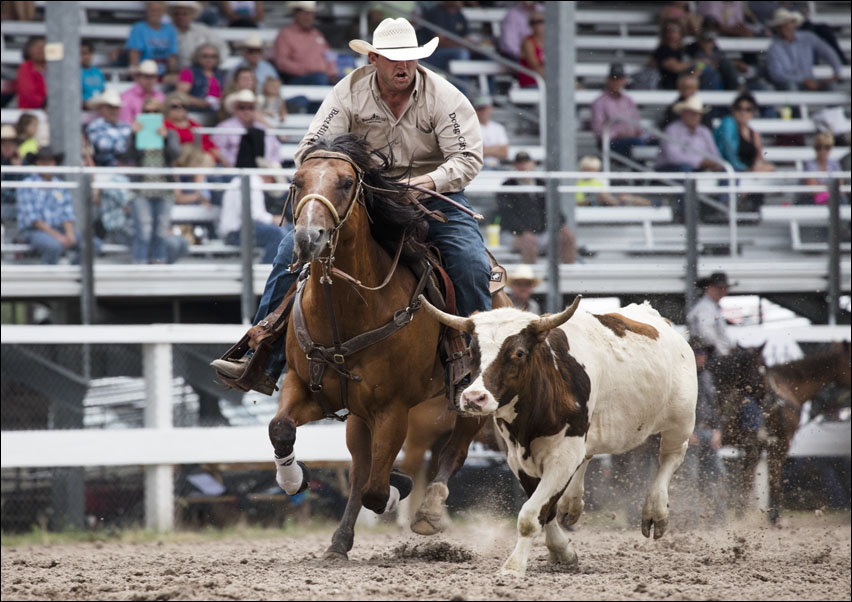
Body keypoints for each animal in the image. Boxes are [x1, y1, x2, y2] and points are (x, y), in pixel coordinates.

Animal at [418, 295, 697, 577]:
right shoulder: (518, 459)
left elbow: (530, 515)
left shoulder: (562, 457)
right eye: (472, 351)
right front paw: (562, 551)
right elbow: (546, 510)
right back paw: (571, 504)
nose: (474, 398)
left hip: (681, 419)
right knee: (588, 456)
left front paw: (513, 566)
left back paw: (655, 511)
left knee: (671, 457)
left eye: (519, 353)